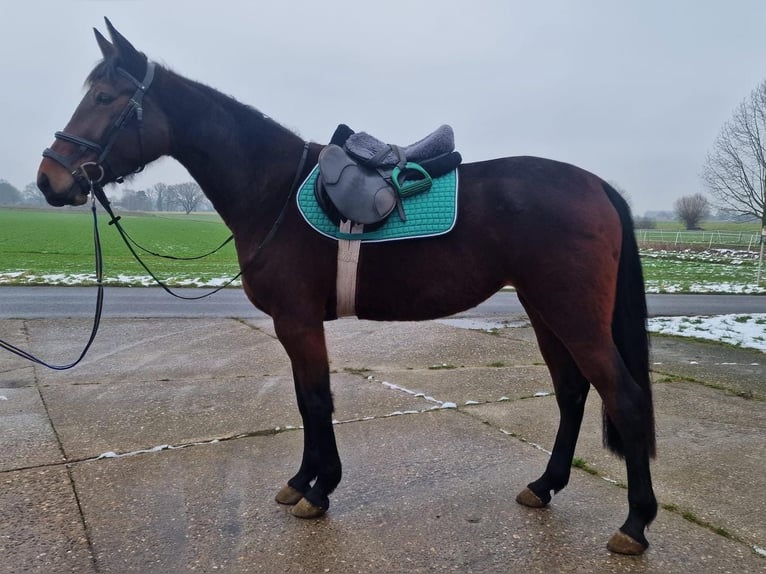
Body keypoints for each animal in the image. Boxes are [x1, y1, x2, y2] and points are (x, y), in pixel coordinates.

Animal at [36, 20, 656, 556]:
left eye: (105, 99)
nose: (49, 180)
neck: (273, 191)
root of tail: (596, 185)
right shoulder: (295, 325)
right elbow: (305, 399)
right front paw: (302, 480)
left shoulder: (298, 320)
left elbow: (316, 399)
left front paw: (320, 489)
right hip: (544, 310)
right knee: (573, 392)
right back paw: (545, 485)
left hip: (572, 315)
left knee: (622, 396)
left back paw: (635, 523)